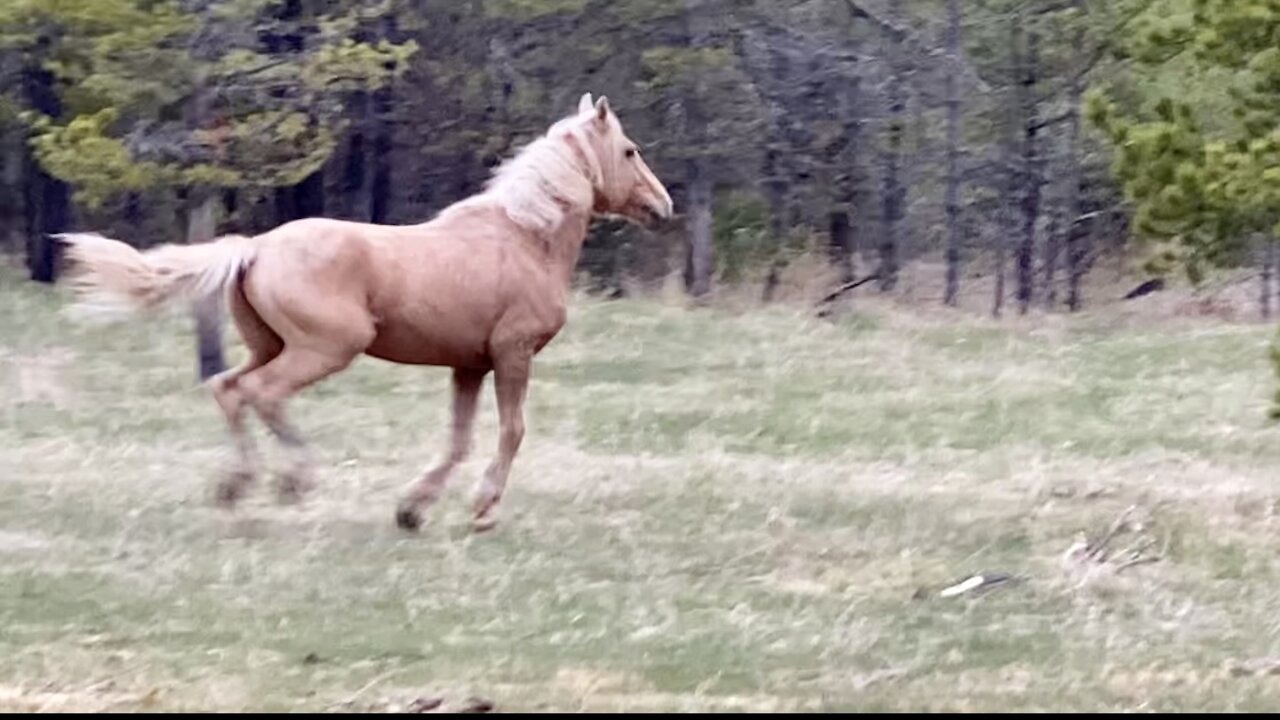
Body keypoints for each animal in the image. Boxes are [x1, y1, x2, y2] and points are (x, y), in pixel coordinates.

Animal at [57, 94, 680, 532]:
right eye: (630, 151)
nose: (664, 206)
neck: (525, 238)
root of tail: (255, 247)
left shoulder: (469, 365)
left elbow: (459, 439)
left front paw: (413, 509)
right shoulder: (512, 353)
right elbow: (511, 430)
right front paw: (482, 510)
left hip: (270, 345)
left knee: (229, 389)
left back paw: (236, 486)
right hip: (326, 348)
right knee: (262, 394)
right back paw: (295, 480)